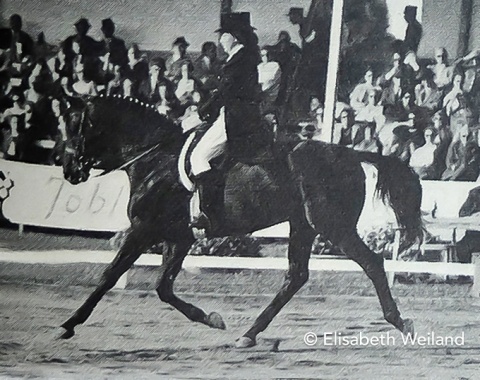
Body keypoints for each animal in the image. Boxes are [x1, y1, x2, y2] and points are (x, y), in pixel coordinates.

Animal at [58, 94, 422, 348]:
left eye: (74, 124)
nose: (69, 170)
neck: (155, 159)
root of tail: (350, 154)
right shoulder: (178, 237)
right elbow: (163, 287)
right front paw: (211, 319)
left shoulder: (143, 230)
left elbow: (109, 276)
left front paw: (69, 324)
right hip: (303, 226)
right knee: (296, 276)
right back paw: (249, 335)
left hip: (332, 226)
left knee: (372, 263)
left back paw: (401, 323)